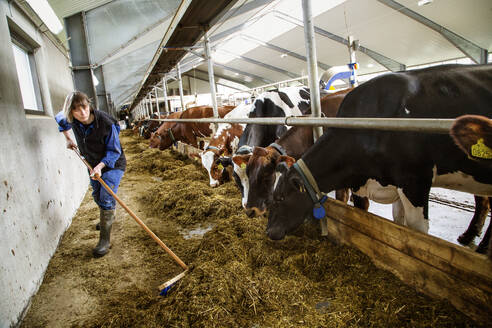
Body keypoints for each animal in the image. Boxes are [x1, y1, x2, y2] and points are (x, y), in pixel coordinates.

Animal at [268, 63, 492, 246]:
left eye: (279, 198)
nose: (268, 232)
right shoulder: (364, 182)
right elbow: (393, 220)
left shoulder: (415, 183)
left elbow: (416, 232)